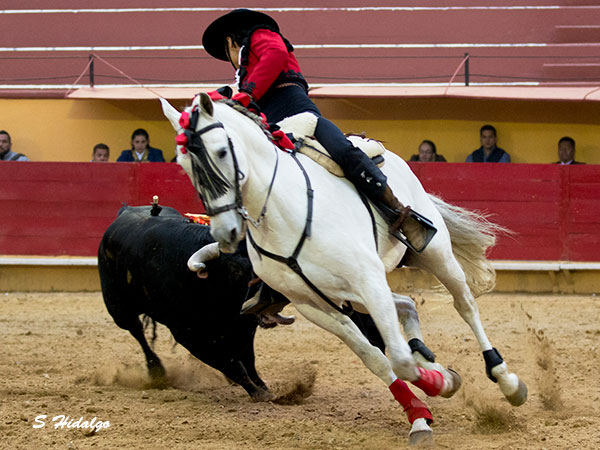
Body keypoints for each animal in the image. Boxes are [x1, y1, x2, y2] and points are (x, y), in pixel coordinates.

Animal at [96, 205, 382, 400]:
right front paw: (258, 393)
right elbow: (230, 363)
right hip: (119, 309)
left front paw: (262, 387)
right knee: (137, 332)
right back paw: (157, 371)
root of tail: (124, 211)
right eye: (237, 269)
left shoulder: (243, 328)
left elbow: (246, 359)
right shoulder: (188, 335)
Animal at [162, 93, 528, 444]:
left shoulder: (368, 281)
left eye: (222, 151)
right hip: (354, 296)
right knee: (408, 306)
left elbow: (399, 358)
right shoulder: (315, 305)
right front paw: (423, 408)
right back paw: (432, 362)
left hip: (434, 254)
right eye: (183, 164)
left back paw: (507, 380)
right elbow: (377, 359)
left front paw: (441, 385)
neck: (286, 212)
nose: (225, 233)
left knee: (464, 304)